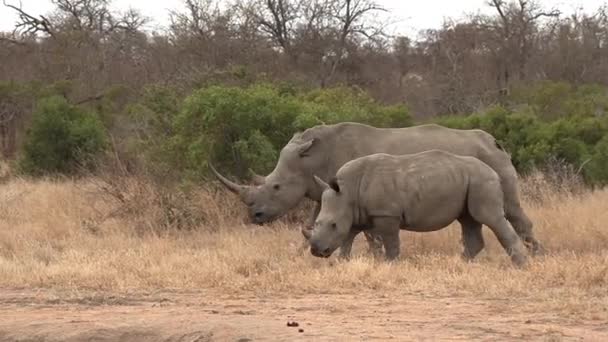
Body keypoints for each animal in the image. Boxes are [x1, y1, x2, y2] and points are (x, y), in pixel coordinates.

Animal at [308, 150, 528, 268]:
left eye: (333, 225)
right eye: (317, 223)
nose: (316, 251)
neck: (349, 191)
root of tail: (494, 172)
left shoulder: (387, 214)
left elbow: (390, 242)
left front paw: (390, 264)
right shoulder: (357, 214)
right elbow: (348, 239)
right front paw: (341, 262)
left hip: (482, 181)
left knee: (491, 218)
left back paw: (521, 266)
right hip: (472, 181)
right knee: (469, 221)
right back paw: (459, 263)